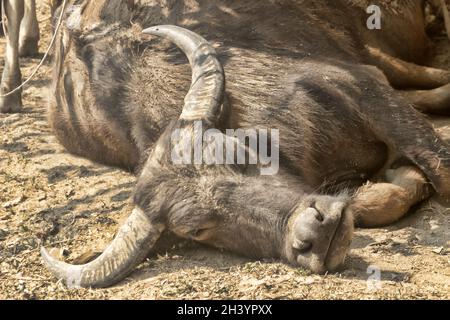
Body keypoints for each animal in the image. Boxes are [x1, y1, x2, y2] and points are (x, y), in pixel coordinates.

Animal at [0, 0, 450, 288]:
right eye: (198, 230)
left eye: (240, 153)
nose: (315, 232)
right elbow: (379, 197)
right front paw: (399, 181)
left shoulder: (363, 85)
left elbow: (439, 165)